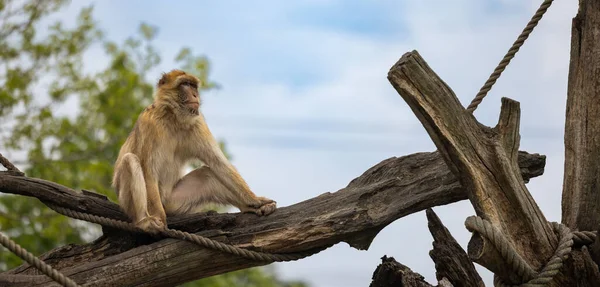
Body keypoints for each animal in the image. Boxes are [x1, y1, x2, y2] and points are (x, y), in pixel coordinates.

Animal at [112, 70, 276, 234]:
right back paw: (143, 222)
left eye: (193, 86)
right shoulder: (149, 122)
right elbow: (148, 171)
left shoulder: (198, 122)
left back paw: (248, 207)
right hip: (129, 202)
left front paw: (255, 201)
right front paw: (159, 218)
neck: (173, 117)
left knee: (207, 174)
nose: (195, 95)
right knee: (130, 160)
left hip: (173, 202)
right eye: (185, 84)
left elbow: (218, 163)